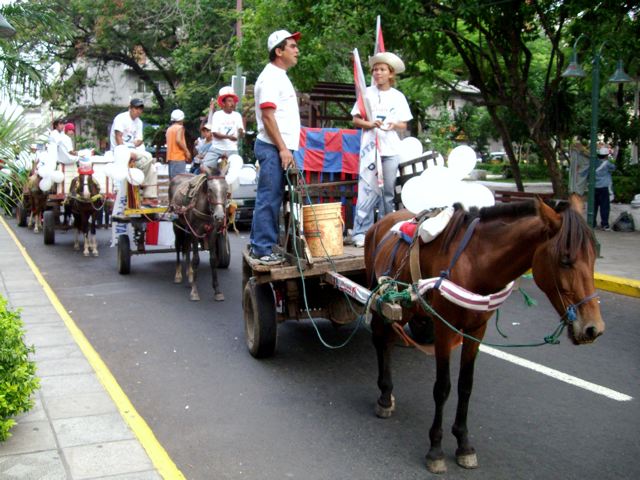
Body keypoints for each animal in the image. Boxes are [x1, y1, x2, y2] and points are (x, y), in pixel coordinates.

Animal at [169, 172, 229, 300]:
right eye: (210, 189)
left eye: (226, 190)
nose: (220, 216)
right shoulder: (195, 232)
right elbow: (196, 259)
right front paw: (194, 292)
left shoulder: (212, 232)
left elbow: (212, 260)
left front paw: (217, 291)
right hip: (177, 224)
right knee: (178, 246)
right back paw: (178, 275)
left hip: (187, 227)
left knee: (186, 246)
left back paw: (190, 275)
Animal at [362, 197, 604, 474]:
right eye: (565, 260)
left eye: (594, 256)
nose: (593, 328)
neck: (475, 262)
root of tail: (382, 219)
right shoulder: (444, 328)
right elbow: (442, 388)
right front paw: (435, 449)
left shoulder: (476, 330)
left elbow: (466, 385)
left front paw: (464, 444)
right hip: (380, 297)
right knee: (380, 340)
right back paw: (384, 397)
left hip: (404, 306)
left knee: (388, 339)